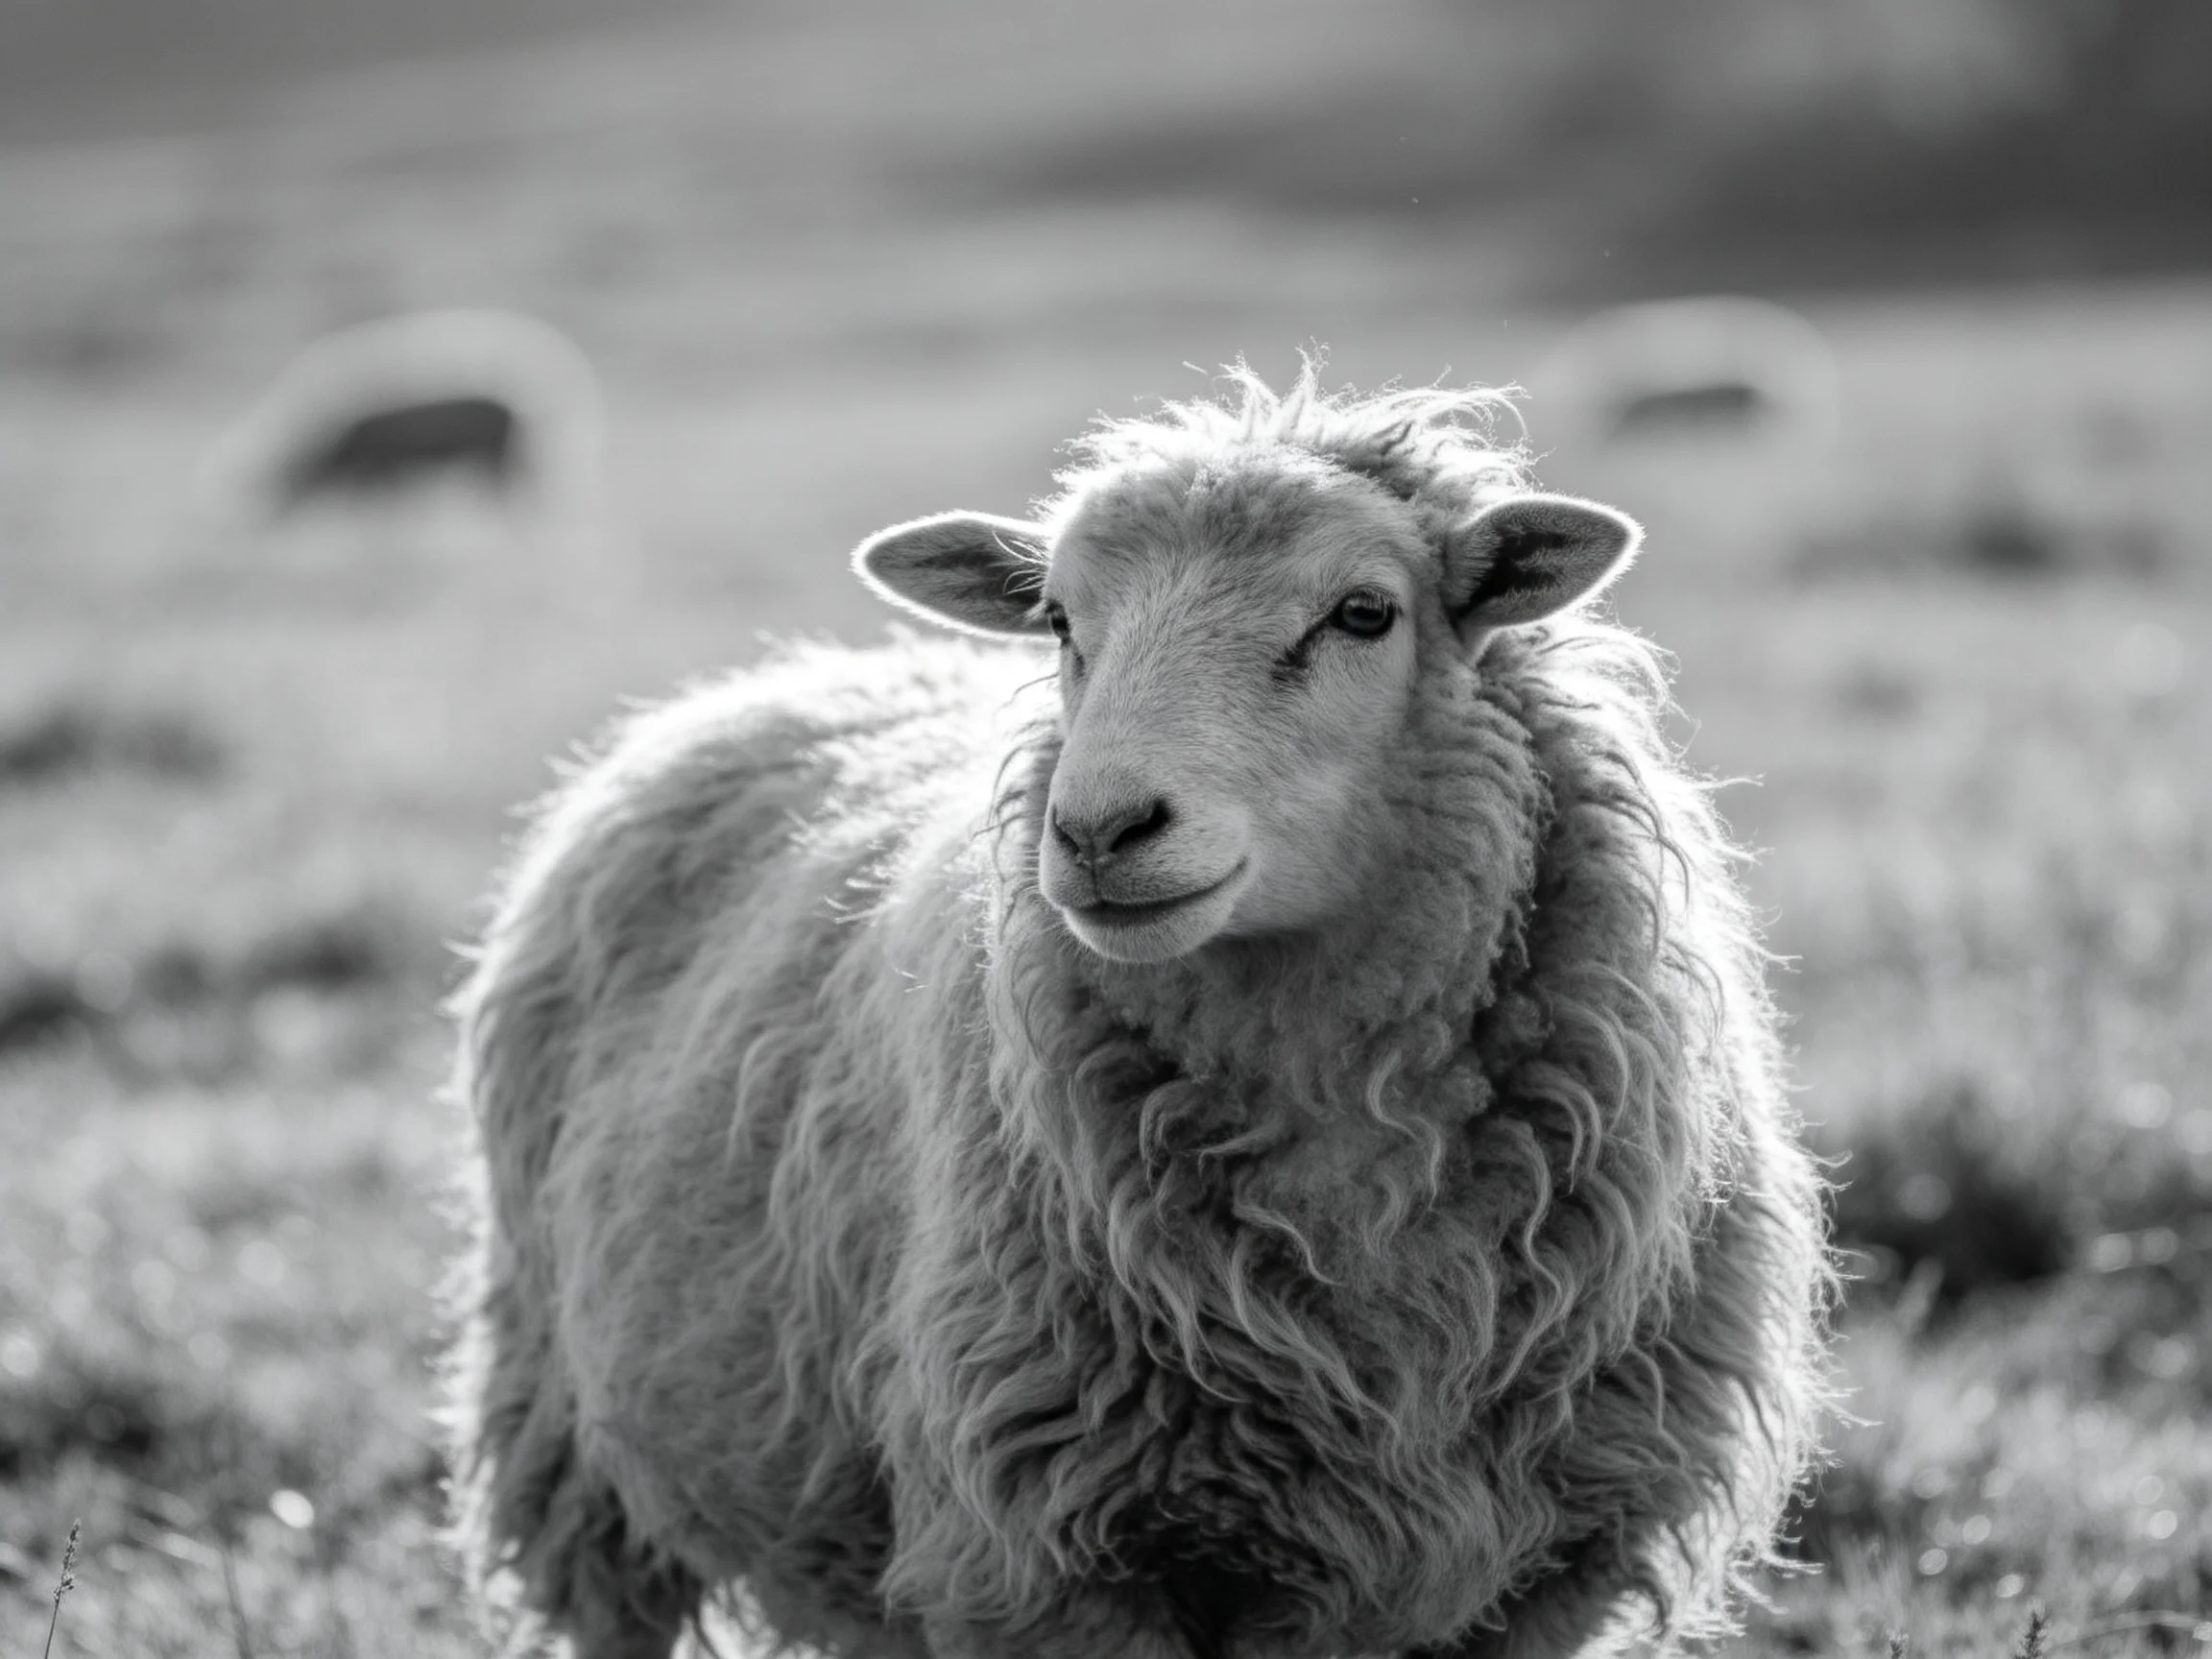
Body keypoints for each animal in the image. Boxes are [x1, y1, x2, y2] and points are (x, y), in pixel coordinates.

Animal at [444, 363, 1831, 1659]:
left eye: (1363, 613)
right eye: (1060, 618)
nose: (1100, 831)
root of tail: (790, 675)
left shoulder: (1547, 1573)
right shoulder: (1057, 1561)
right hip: (569, 1441)